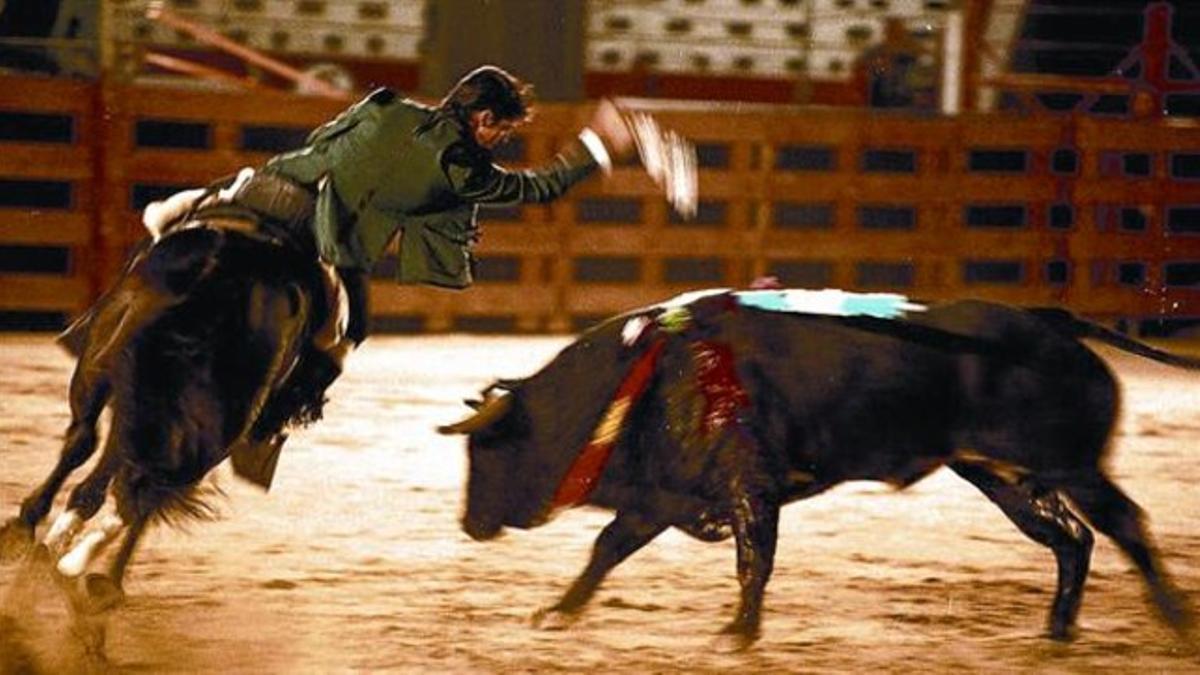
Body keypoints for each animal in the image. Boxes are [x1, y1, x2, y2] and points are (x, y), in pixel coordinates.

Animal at [444, 299, 1200, 648]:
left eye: (484, 451)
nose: (468, 523)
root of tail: (1052, 321)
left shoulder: (750, 490)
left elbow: (753, 562)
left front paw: (738, 632)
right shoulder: (660, 497)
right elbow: (606, 550)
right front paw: (559, 611)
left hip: (1070, 465)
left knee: (1125, 526)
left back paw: (1173, 617)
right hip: (1002, 477)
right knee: (1072, 540)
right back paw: (1058, 628)